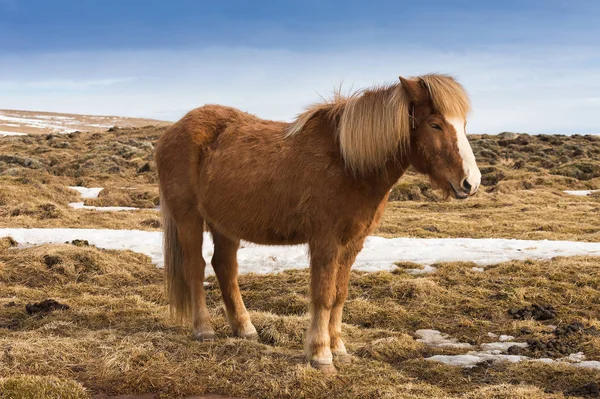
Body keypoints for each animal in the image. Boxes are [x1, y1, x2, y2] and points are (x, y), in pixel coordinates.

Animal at [156, 74, 482, 376]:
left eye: (464, 124)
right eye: (435, 124)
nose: (471, 182)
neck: (348, 162)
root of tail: (173, 131)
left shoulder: (352, 243)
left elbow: (339, 295)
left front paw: (339, 349)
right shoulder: (325, 240)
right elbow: (323, 295)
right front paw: (320, 354)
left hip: (225, 225)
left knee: (225, 268)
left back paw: (245, 329)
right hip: (188, 218)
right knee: (195, 268)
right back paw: (204, 330)